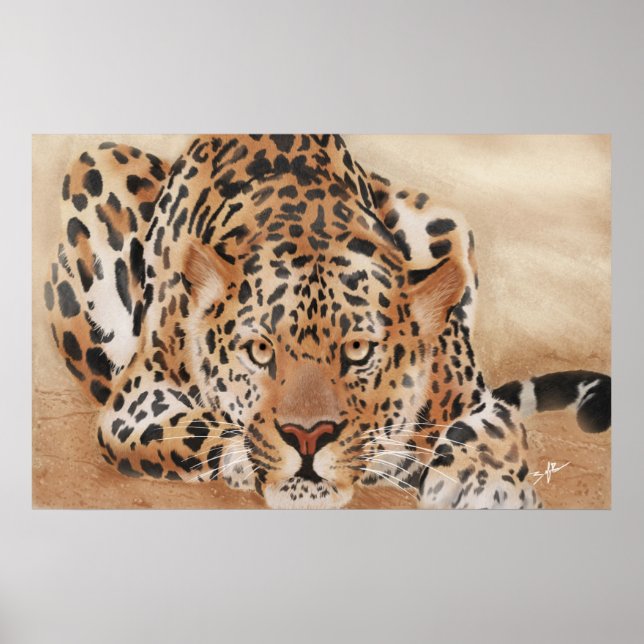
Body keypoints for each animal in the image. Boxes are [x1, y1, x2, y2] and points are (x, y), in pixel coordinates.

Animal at [43, 134, 611, 509]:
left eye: (358, 351)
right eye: (259, 350)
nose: (308, 436)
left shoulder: (474, 397)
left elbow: (493, 430)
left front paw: (489, 486)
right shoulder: (136, 404)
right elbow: (199, 427)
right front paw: (246, 459)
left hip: (445, 220)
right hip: (99, 161)